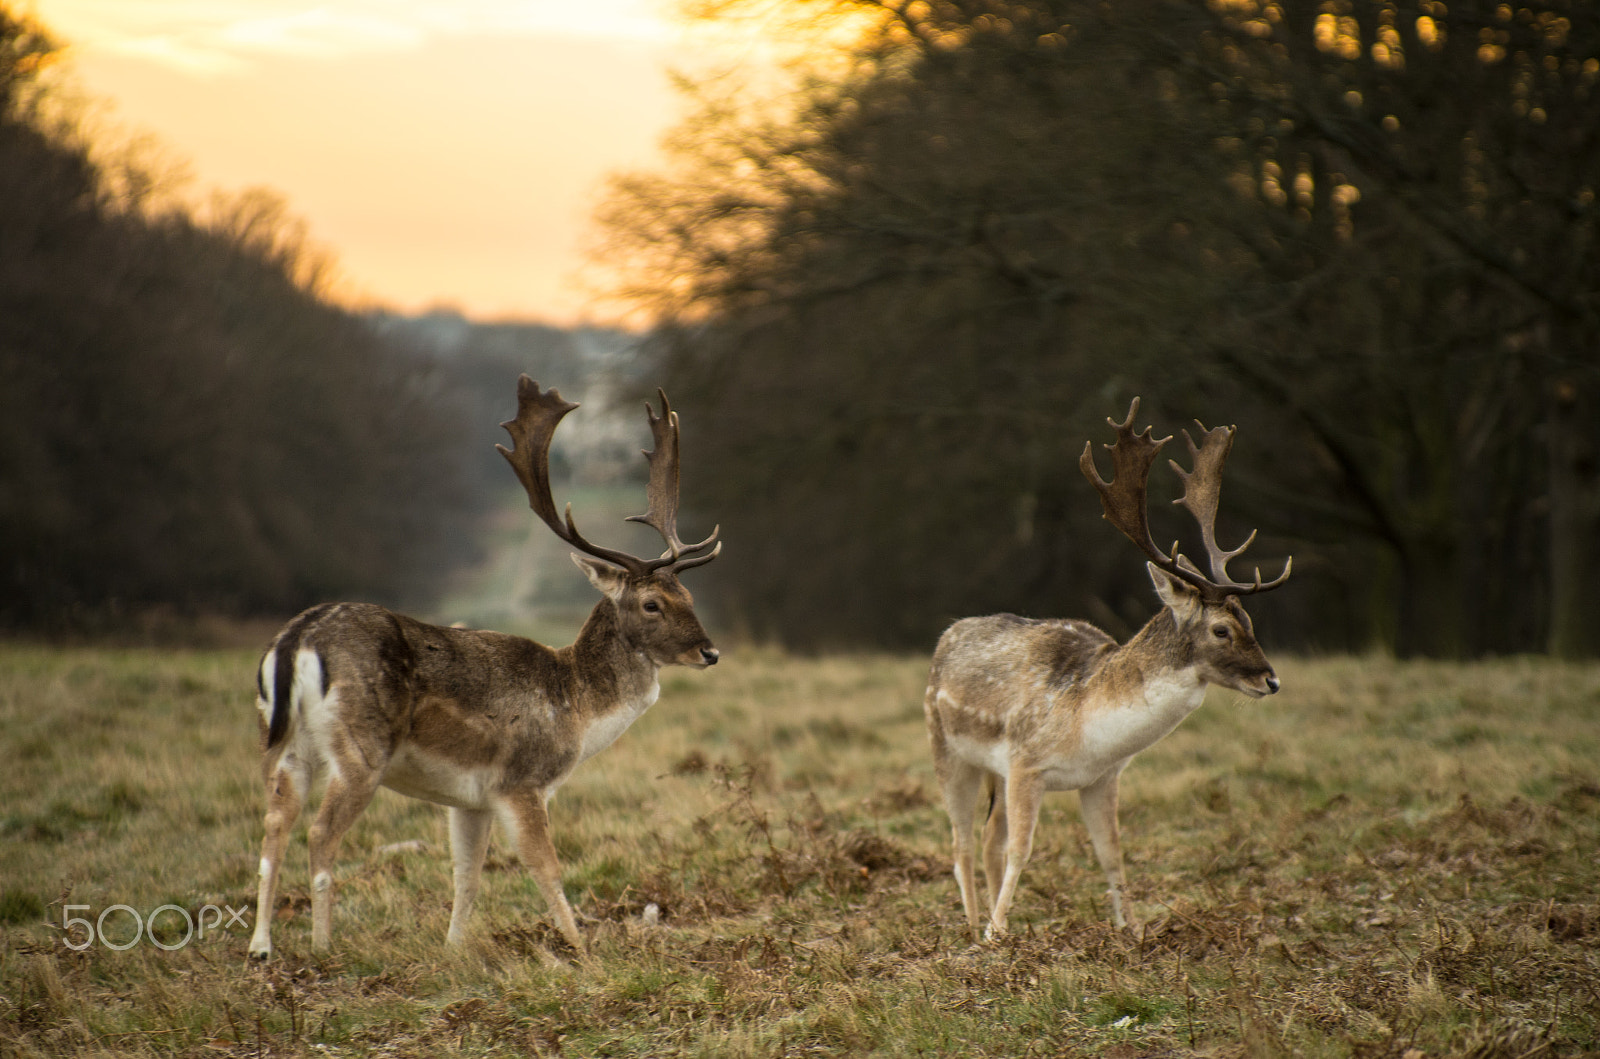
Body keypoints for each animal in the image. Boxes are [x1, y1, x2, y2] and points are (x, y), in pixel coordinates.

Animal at [247, 376, 722, 960]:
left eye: (689, 595)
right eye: (653, 603)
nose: (709, 652)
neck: (576, 707)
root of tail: (299, 639)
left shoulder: (468, 800)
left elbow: (466, 875)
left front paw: (453, 952)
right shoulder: (522, 781)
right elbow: (546, 869)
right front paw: (581, 952)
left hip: (287, 743)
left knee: (273, 825)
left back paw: (261, 948)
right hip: (361, 747)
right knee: (319, 832)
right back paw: (321, 946)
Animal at [924, 397, 1291, 940]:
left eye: (1249, 619)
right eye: (1222, 629)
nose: (1271, 679)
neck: (1090, 727)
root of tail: (946, 636)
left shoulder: (1103, 778)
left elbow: (1112, 855)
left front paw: (1131, 932)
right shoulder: (1026, 764)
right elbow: (1021, 851)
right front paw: (996, 934)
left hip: (990, 770)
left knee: (986, 840)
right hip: (947, 750)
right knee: (962, 843)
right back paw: (974, 928)